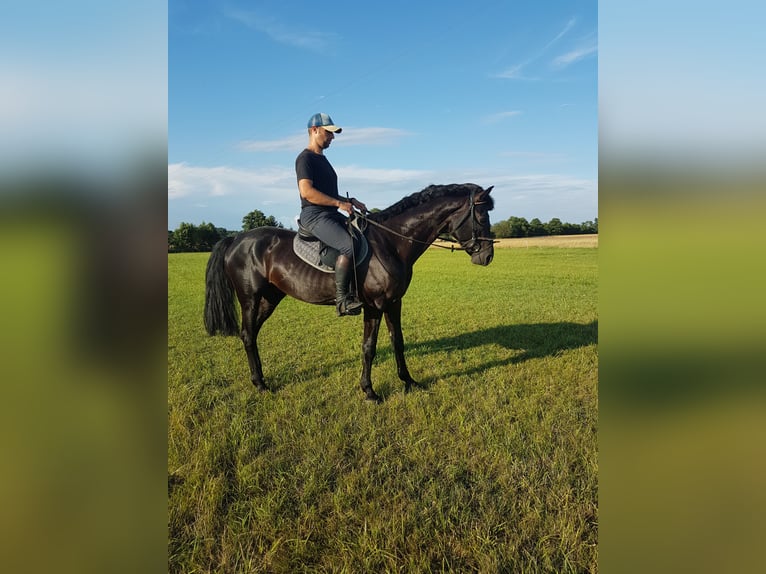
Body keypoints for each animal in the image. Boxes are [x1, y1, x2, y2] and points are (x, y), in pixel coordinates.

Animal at [204, 183, 495, 402]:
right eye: (482, 216)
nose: (488, 257)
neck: (391, 242)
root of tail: (237, 239)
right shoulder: (375, 305)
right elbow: (369, 347)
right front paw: (369, 392)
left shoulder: (394, 303)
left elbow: (397, 341)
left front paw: (409, 381)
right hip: (250, 299)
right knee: (247, 335)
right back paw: (261, 385)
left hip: (269, 298)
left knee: (251, 334)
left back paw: (260, 381)